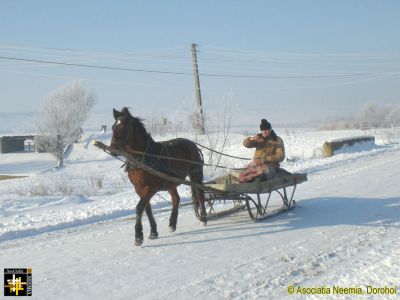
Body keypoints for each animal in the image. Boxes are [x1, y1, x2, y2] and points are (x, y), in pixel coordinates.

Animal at [111, 106, 208, 245]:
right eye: (113, 127)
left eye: (124, 127)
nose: (112, 149)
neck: (142, 158)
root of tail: (192, 144)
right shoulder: (139, 188)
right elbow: (147, 209)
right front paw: (153, 232)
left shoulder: (150, 188)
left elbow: (139, 208)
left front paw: (138, 236)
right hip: (170, 181)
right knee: (176, 199)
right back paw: (172, 223)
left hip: (196, 175)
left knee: (200, 194)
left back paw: (204, 218)